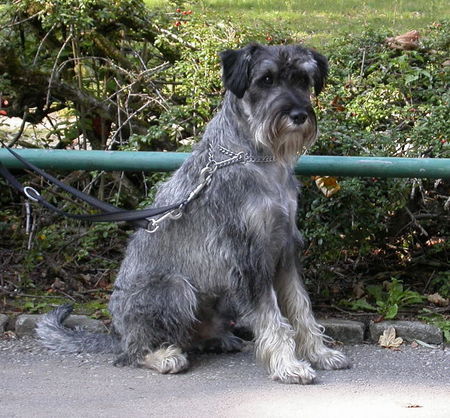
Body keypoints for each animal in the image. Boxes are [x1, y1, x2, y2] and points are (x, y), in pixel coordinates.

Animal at [37, 42, 350, 382]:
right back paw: (163, 356)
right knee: (131, 353)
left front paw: (320, 354)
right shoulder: (249, 257)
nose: (299, 115)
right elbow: (272, 316)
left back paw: (219, 339)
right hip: (176, 290)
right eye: (266, 79)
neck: (257, 157)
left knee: (192, 336)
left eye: (303, 80)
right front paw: (288, 365)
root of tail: (117, 333)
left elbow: (300, 308)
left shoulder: (285, 250)